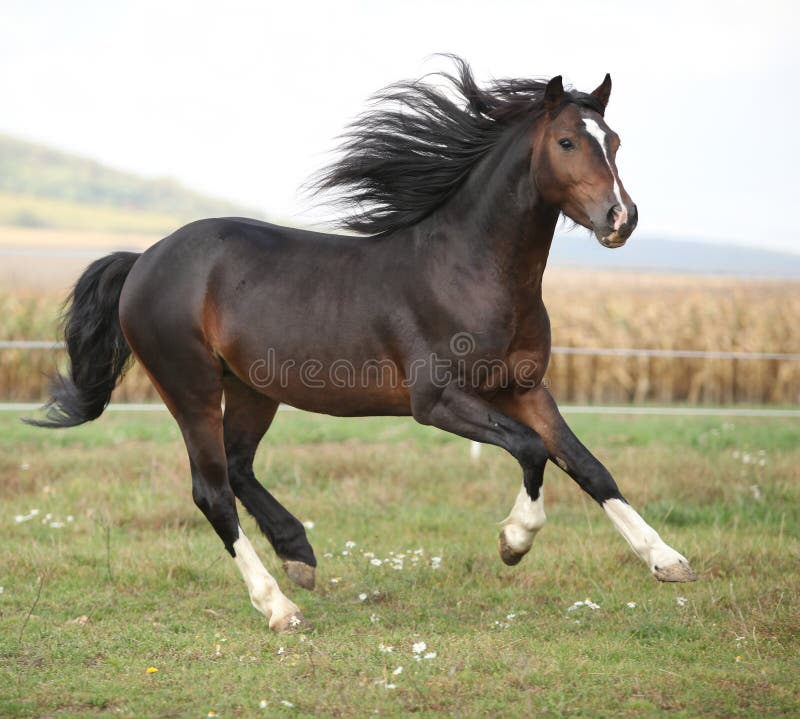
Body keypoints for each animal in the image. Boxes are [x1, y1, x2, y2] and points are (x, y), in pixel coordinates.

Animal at [29, 60, 692, 636]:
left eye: (614, 141)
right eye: (566, 142)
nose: (621, 218)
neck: (469, 270)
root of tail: (143, 260)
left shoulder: (523, 388)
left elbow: (586, 465)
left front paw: (667, 560)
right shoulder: (439, 402)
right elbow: (532, 452)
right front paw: (513, 542)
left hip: (251, 388)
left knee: (239, 467)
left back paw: (299, 554)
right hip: (189, 387)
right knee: (212, 491)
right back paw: (280, 607)